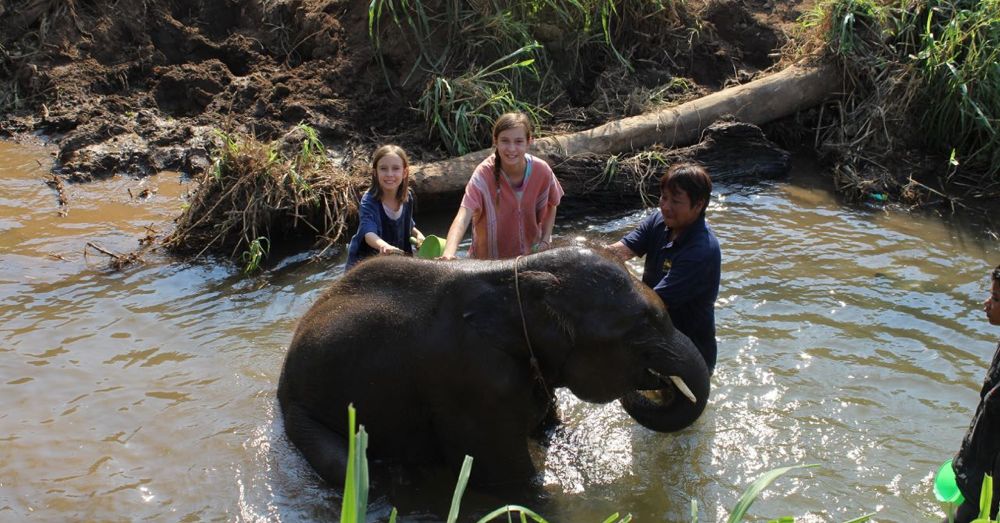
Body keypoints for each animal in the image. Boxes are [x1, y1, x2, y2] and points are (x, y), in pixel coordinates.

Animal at [276, 246, 712, 488]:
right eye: (642, 327)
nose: (655, 382)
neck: (516, 275)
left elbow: (549, 429)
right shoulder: (471, 382)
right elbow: (508, 480)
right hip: (300, 413)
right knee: (344, 465)